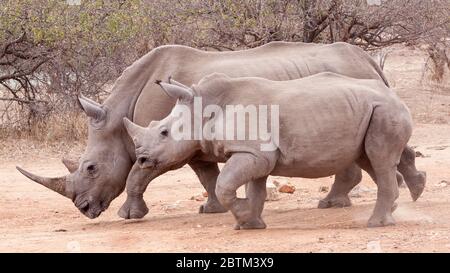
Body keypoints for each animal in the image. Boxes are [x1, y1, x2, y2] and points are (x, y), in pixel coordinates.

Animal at [125, 73, 414, 227]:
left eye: (163, 132)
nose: (142, 159)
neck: (204, 108)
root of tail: (396, 97)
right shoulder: (255, 154)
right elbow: (255, 189)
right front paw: (249, 224)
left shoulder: (253, 153)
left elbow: (225, 185)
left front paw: (242, 215)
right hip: (369, 111)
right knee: (372, 160)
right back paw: (393, 209)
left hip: (385, 111)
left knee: (379, 160)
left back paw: (376, 224)